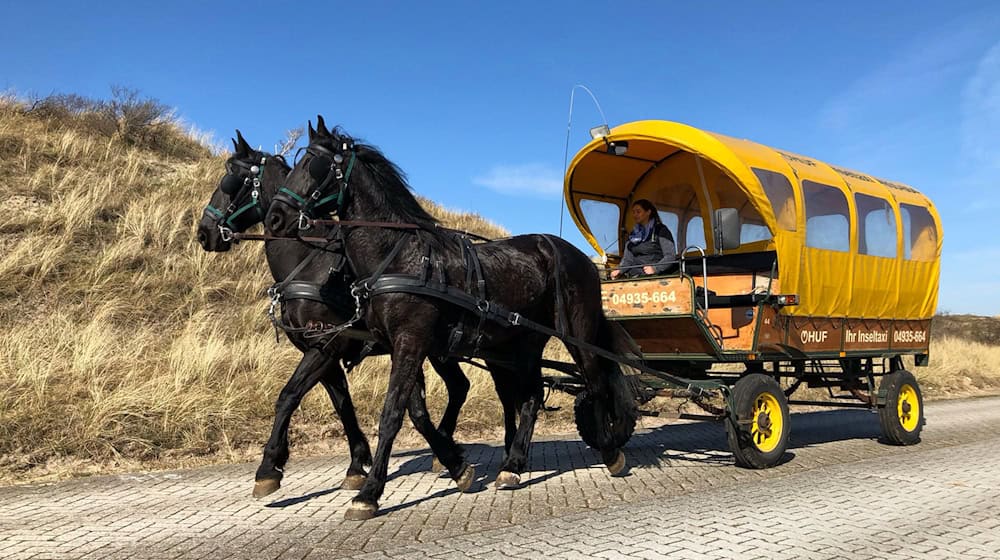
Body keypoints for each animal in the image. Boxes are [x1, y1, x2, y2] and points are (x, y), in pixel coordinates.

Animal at [200, 132, 476, 498]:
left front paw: (269, 467)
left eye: (233, 181)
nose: (204, 232)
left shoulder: (326, 347)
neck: (310, 262)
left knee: (459, 386)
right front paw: (357, 464)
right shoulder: (324, 353)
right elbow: (343, 405)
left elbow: (288, 396)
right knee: (458, 386)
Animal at [266, 117, 636, 520]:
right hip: (521, 342)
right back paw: (512, 464)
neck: (400, 257)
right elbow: (406, 410)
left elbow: (391, 413)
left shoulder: (404, 342)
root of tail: (578, 256)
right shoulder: (394, 346)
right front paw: (452, 466)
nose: (275, 216)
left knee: (595, 383)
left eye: (314, 165)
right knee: (530, 396)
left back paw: (610, 450)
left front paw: (369, 492)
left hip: (575, 330)